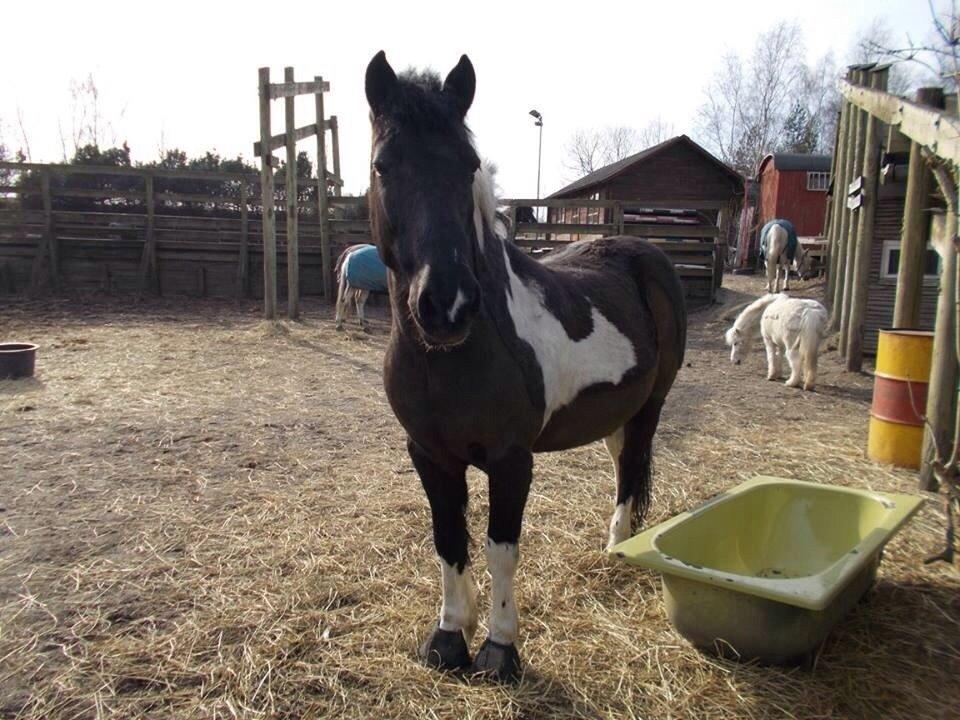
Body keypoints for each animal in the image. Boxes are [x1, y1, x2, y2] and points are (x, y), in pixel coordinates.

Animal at [364, 51, 687, 681]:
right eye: (383, 166)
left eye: (468, 166)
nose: (447, 304)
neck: (453, 359)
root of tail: (648, 253)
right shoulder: (429, 455)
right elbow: (448, 540)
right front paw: (449, 637)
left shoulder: (511, 461)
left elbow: (500, 548)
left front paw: (499, 648)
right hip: (616, 412)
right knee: (622, 460)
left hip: (652, 404)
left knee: (631, 468)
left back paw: (619, 546)